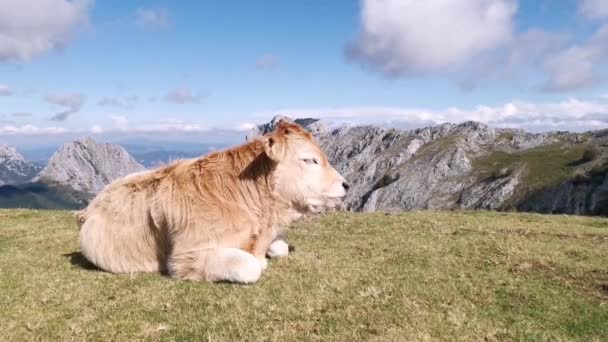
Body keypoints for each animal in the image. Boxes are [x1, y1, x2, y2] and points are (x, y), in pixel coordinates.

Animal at [76, 120, 350, 284]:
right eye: (309, 160)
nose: (346, 185)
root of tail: (88, 209)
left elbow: (280, 247)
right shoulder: (187, 256)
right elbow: (250, 267)